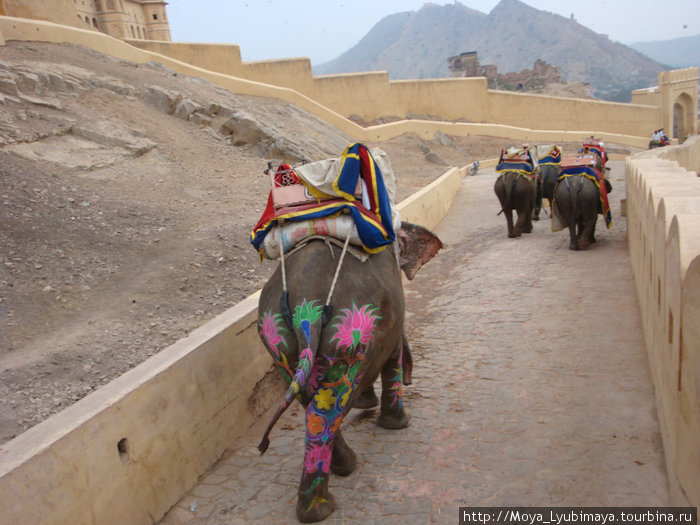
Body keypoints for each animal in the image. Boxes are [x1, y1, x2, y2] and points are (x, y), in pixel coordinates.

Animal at [258, 220, 442, 520]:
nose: (411, 379)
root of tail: (305, 307)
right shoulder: (390, 322)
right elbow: (391, 357)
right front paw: (398, 425)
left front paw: (366, 404)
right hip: (352, 328)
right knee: (326, 408)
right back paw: (321, 508)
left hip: (277, 338)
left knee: (314, 402)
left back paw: (343, 468)